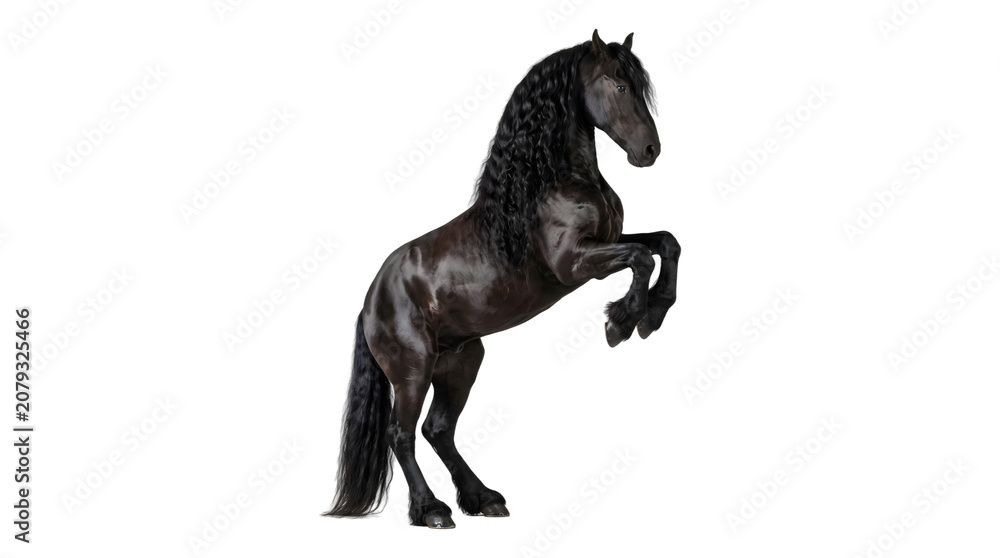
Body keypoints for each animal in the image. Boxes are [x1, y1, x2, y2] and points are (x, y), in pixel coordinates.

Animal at [326, 30, 680, 529]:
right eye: (618, 84)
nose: (649, 151)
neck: (549, 183)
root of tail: (369, 301)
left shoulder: (606, 242)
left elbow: (665, 243)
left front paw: (652, 315)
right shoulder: (575, 263)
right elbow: (640, 258)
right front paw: (623, 322)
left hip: (460, 362)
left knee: (438, 430)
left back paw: (484, 498)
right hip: (413, 368)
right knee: (402, 433)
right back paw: (432, 510)